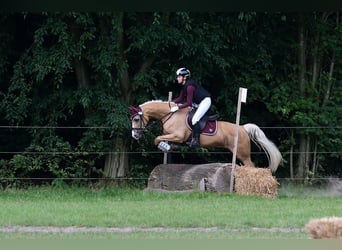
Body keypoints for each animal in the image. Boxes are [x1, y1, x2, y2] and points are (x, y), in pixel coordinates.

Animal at [130, 99, 282, 172]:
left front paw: (164, 146)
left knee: (251, 165)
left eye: (136, 119)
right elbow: (163, 138)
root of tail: (242, 128)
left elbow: (157, 139)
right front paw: (170, 147)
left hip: (242, 152)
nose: (135, 135)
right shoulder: (172, 135)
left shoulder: (178, 135)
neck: (170, 115)